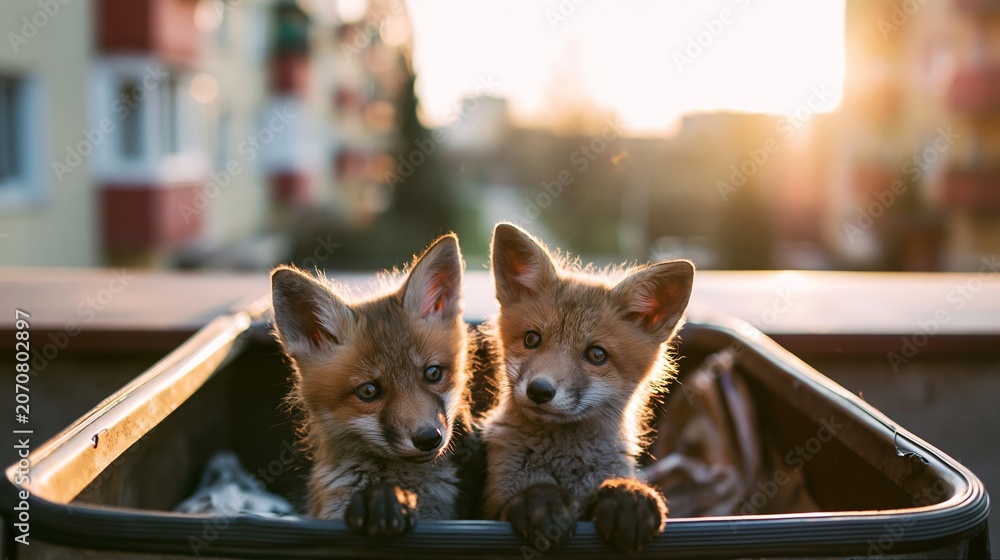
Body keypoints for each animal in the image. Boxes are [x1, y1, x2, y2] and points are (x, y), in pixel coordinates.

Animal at [481, 223, 694, 553]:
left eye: (596, 355)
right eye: (531, 339)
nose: (539, 390)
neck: (565, 464)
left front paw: (630, 499)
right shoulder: (492, 504)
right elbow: (519, 501)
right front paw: (539, 500)